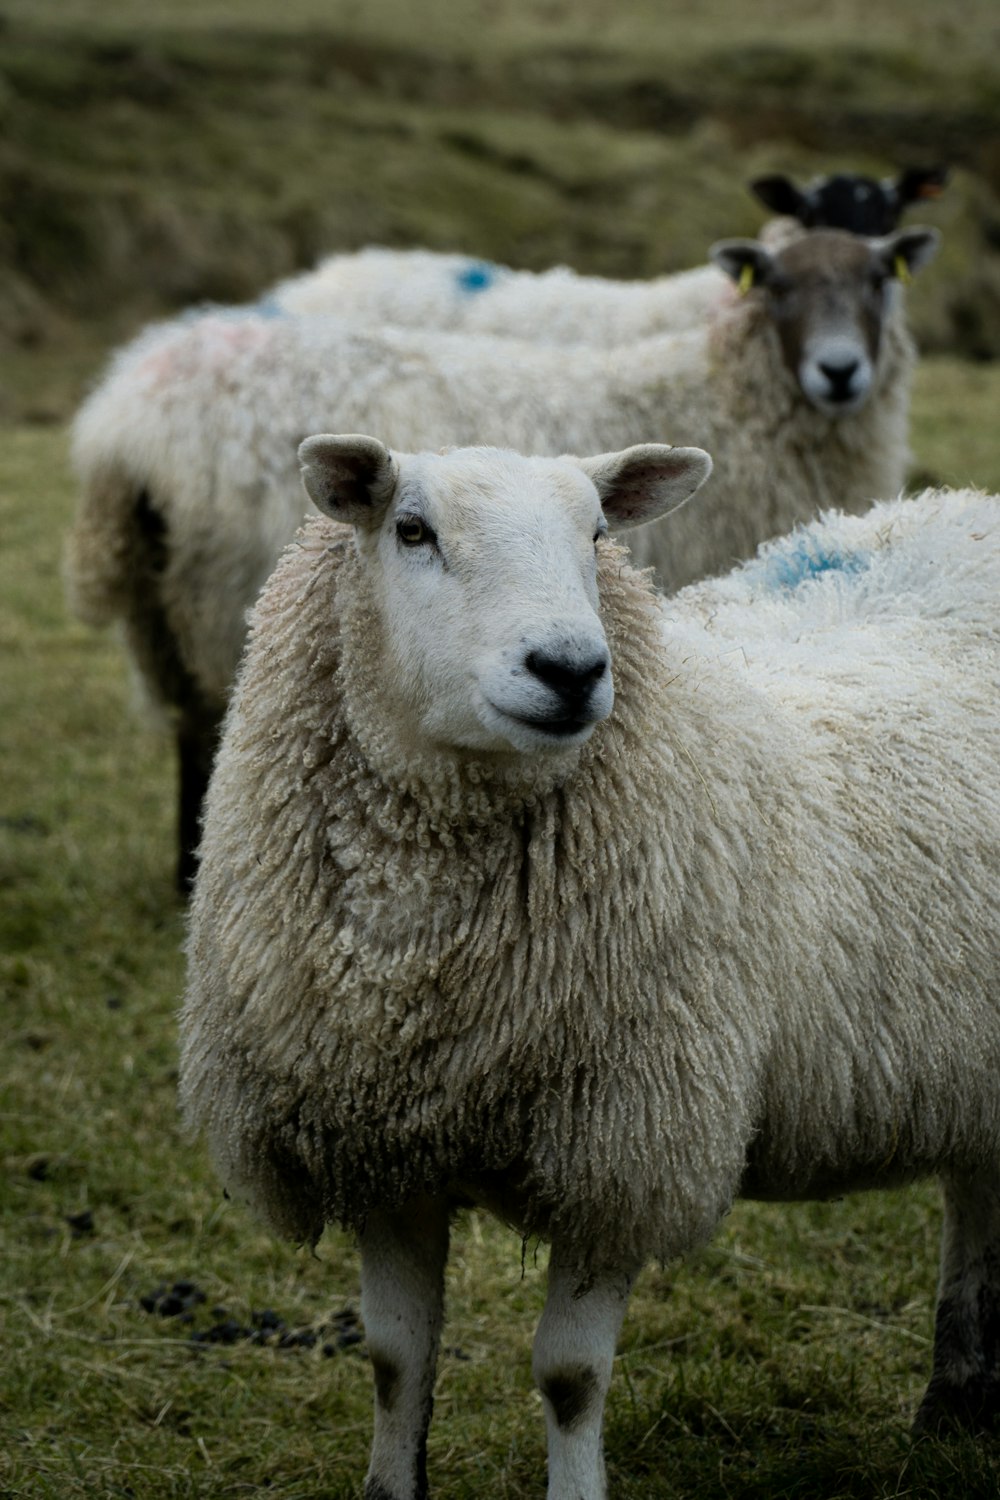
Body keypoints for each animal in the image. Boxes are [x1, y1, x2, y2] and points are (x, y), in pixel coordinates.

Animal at [66, 217, 941, 882]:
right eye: (780, 288)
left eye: (880, 281)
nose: (840, 372)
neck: (716, 392)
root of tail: (124, 421)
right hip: (215, 596)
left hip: (162, 609)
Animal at [182, 438, 1000, 1500]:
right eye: (412, 529)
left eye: (600, 533)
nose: (570, 669)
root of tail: (963, 506)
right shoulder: (382, 1140)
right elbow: (395, 1358)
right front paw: (392, 1484)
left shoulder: (621, 1147)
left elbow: (568, 1378)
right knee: (976, 1190)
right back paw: (954, 1404)